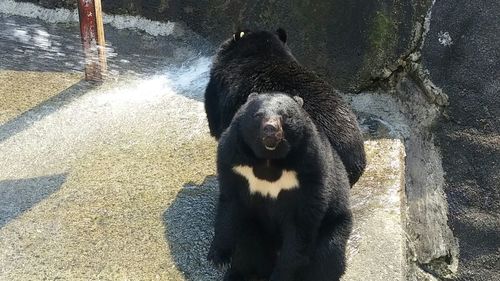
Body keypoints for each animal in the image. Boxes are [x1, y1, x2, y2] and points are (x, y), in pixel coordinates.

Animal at [207, 93, 352, 280]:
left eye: (285, 116)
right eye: (258, 115)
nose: (270, 129)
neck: (269, 157)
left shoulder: (311, 169)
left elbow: (300, 224)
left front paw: (280, 274)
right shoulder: (233, 161)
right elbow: (229, 202)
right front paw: (218, 257)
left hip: (335, 224)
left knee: (327, 257)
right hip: (255, 227)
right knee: (247, 248)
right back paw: (237, 274)